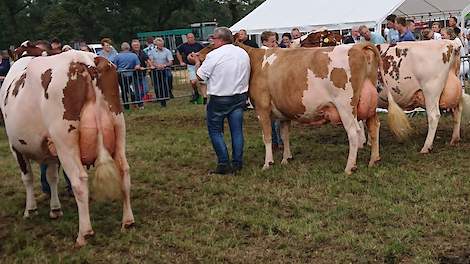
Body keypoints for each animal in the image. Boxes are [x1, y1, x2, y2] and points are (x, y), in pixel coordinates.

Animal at [0, 44, 134, 245]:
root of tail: (84, 60)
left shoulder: (15, 146)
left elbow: (28, 178)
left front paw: (30, 209)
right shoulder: (51, 149)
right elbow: (52, 177)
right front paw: (55, 209)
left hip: (65, 140)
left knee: (79, 180)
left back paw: (84, 234)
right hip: (119, 128)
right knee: (123, 171)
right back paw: (128, 222)